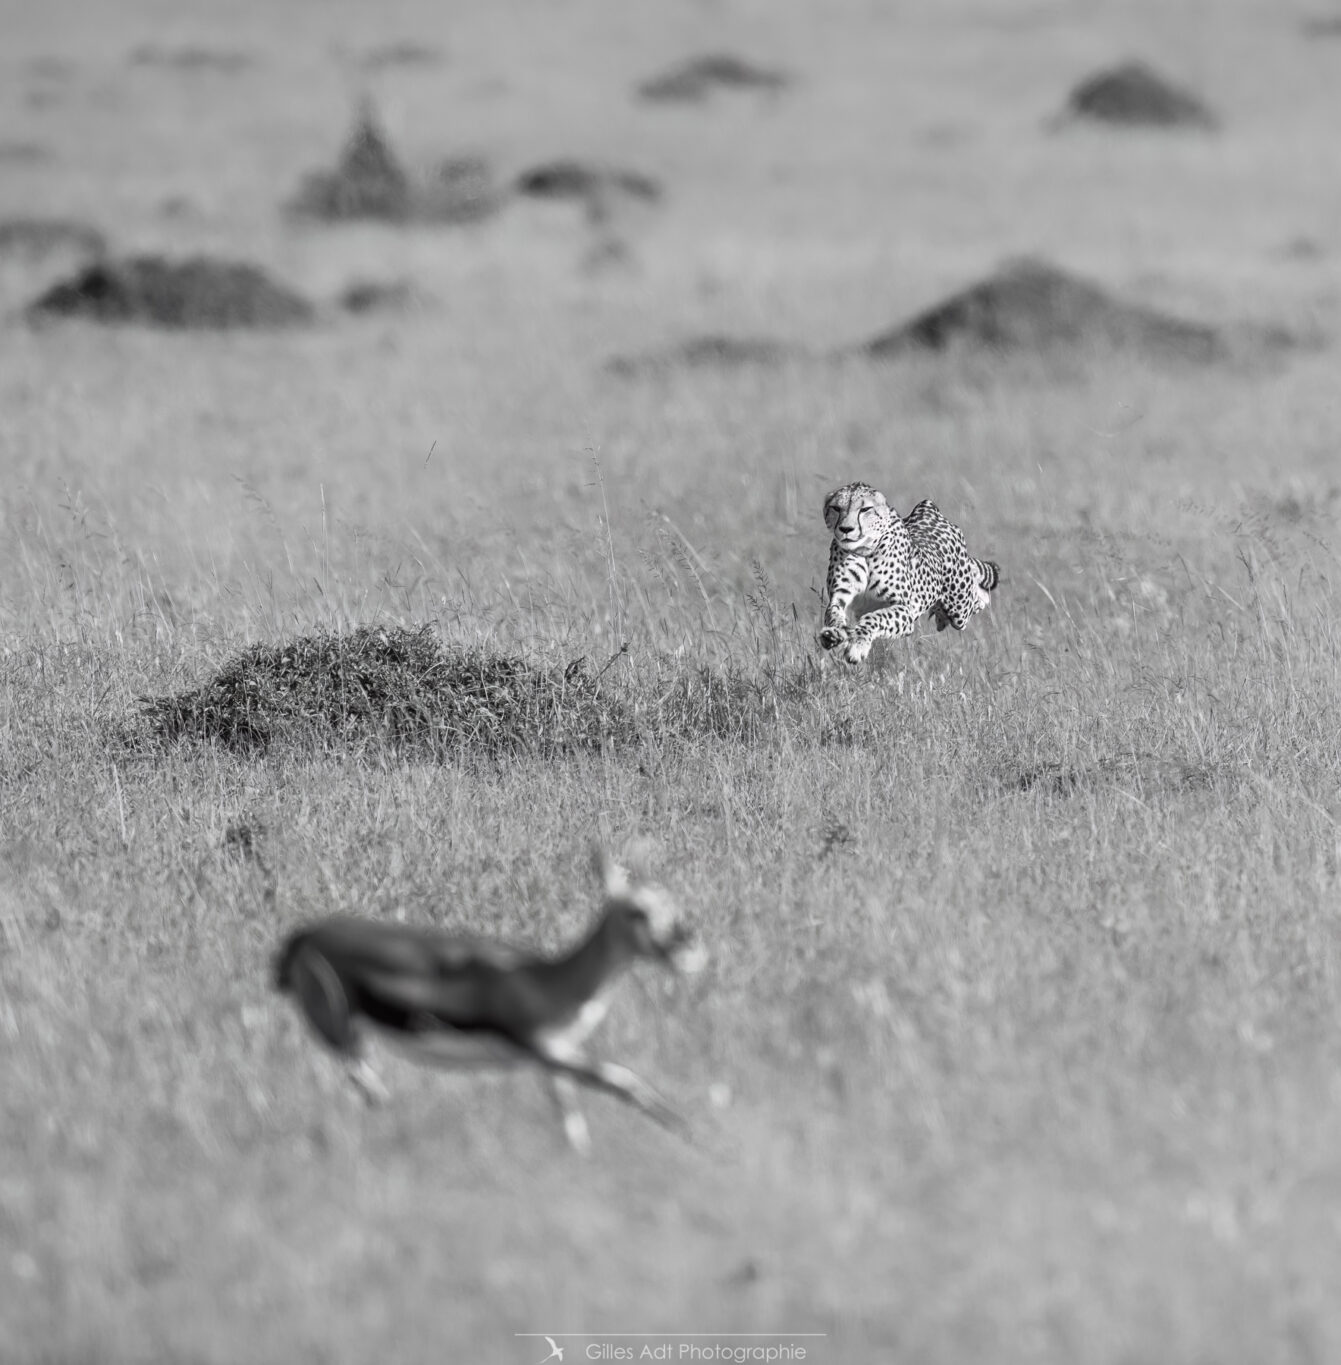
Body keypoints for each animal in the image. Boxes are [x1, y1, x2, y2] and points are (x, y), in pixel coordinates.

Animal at [819, 485, 999, 666]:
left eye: (865, 509)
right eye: (836, 508)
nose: (846, 529)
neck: (864, 550)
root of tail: (928, 507)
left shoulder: (905, 610)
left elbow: (875, 617)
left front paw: (858, 645)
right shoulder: (839, 597)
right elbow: (833, 614)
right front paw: (834, 633)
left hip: (959, 608)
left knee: (975, 598)